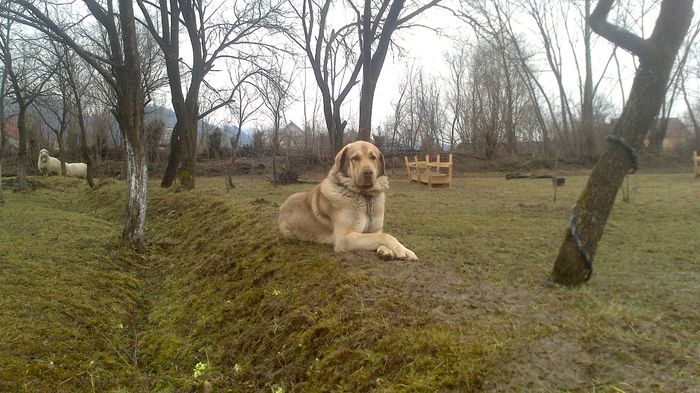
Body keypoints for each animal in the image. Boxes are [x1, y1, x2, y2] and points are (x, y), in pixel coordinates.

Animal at [278, 141, 416, 260]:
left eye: (373, 157)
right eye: (355, 158)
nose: (368, 172)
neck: (366, 197)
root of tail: (283, 205)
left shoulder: (375, 229)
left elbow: (380, 235)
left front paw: (387, 250)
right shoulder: (344, 238)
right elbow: (386, 236)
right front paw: (402, 250)